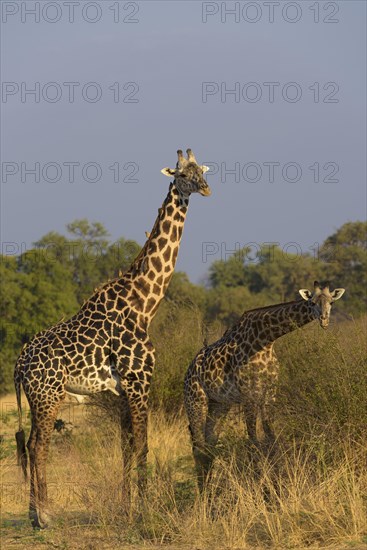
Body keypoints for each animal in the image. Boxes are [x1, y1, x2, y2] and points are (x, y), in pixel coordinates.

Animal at [14, 149, 211, 528]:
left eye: (202, 170)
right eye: (181, 174)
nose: (206, 188)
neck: (145, 302)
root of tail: (19, 364)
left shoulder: (121, 393)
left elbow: (126, 448)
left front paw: (125, 507)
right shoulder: (140, 381)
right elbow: (143, 446)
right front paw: (145, 511)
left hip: (36, 398)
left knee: (28, 443)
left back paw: (36, 513)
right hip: (49, 396)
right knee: (37, 446)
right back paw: (43, 516)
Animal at [185, 282, 346, 490]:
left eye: (331, 302)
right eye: (312, 302)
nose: (324, 320)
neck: (266, 340)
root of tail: (188, 371)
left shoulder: (269, 394)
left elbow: (271, 440)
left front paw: (276, 485)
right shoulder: (249, 396)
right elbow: (253, 442)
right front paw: (260, 487)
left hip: (219, 404)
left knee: (209, 446)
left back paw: (210, 491)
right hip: (195, 401)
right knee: (198, 447)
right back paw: (203, 494)